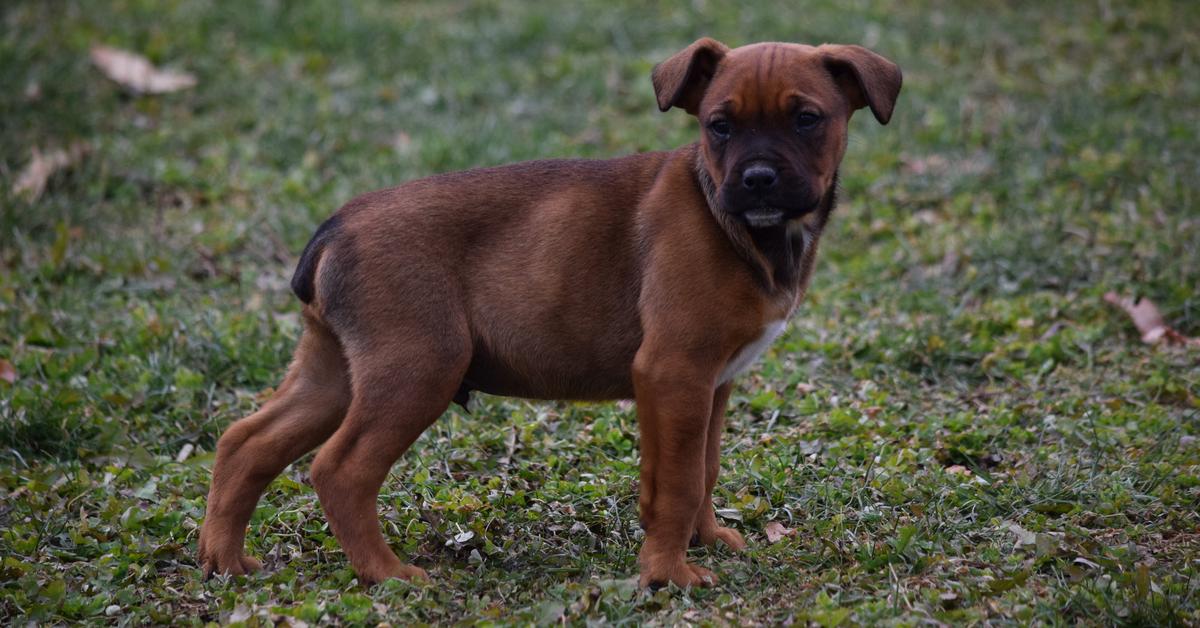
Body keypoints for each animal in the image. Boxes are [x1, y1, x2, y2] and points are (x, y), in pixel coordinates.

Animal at [199, 39, 902, 590]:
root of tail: (336, 226)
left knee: (246, 442)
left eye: (807, 119)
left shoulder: (712, 385)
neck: (740, 227)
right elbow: (677, 482)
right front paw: (668, 575)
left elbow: (700, 471)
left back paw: (223, 561)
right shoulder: (674, 374)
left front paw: (700, 542)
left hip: (334, 373)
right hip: (418, 370)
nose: (756, 179)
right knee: (340, 470)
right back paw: (387, 574)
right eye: (718, 126)